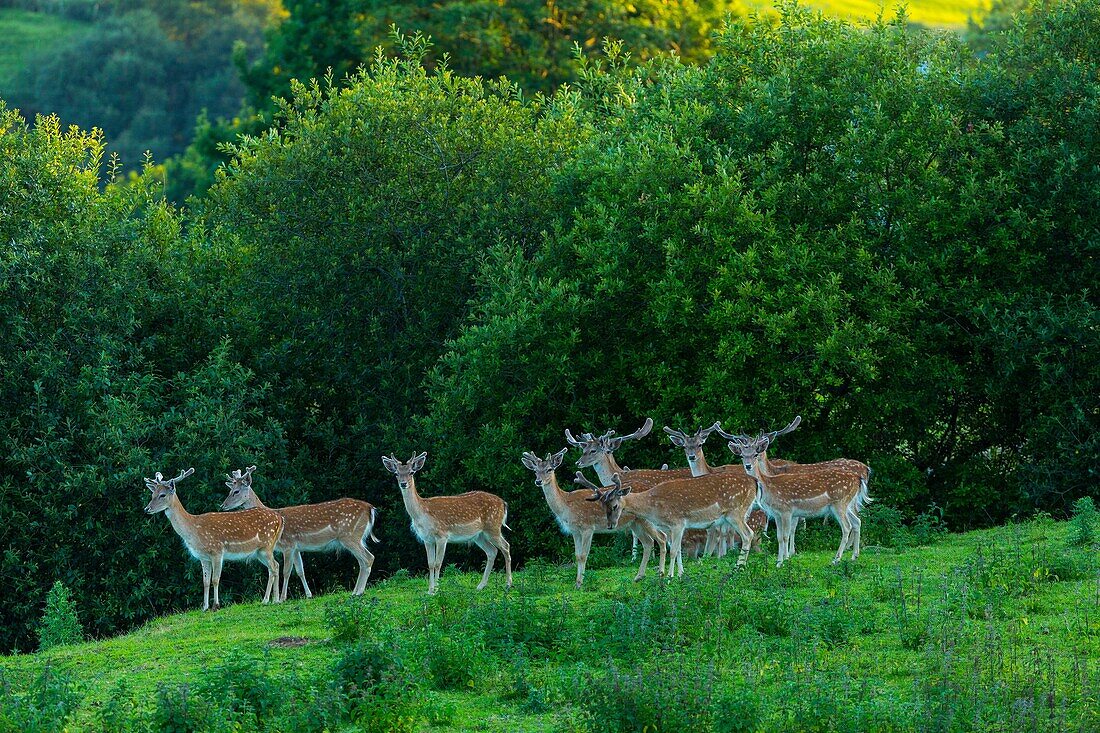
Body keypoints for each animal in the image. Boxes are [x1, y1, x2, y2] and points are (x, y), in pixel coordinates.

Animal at [144, 464, 283, 607]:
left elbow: (215, 579)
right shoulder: (203, 557)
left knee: (273, 568)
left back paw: (266, 600)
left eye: (162, 495)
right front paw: (205, 607)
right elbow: (205, 582)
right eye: (152, 494)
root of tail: (279, 518)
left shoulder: (217, 551)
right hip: (259, 552)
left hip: (267, 546)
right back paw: (275, 600)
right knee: (276, 565)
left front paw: (216, 605)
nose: (147, 509)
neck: (193, 530)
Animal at [218, 462, 382, 598]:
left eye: (236, 491)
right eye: (230, 490)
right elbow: (300, 570)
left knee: (368, 558)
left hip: (350, 535)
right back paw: (355, 591)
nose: (223, 506)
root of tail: (370, 508)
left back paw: (359, 592)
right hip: (356, 537)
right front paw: (309, 594)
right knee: (362, 561)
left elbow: (286, 571)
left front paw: (282, 598)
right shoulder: (296, 547)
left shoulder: (288, 544)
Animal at [382, 449, 510, 589]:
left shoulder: (442, 535)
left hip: (493, 527)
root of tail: (503, 503)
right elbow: (430, 563)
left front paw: (437, 588)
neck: (422, 515)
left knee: (506, 546)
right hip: (479, 535)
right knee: (492, 551)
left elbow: (438, 563)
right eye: (396, 473)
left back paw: (508, 583)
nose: (403, 483)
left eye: (411, 472)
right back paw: (480, 586)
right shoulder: (427, 539)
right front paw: (430, 590)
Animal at [519, 442, 664, 585]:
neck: (565, 506)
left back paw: (661, 574)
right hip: (635, 522)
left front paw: (580, 582)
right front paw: (577, 582)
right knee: (648, 543)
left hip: (648, 519)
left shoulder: (587, 527)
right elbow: (577, 555)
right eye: (535, 471)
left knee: (661, 538)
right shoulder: (575, 531)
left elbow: (584, 555)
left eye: (549, 469)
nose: (538, 481)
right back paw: (639, 576)